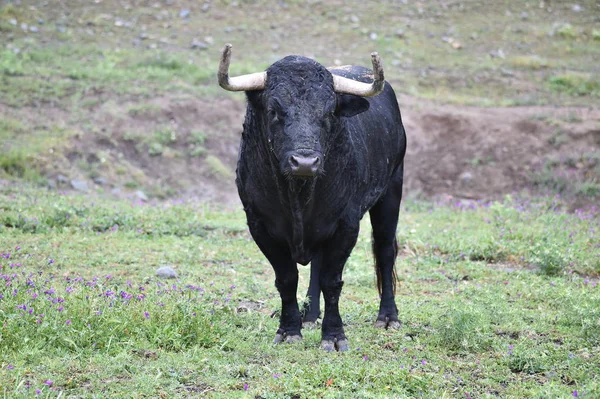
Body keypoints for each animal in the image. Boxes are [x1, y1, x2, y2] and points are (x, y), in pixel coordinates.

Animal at [220, 47, 408, 354]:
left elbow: (332, 281)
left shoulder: (346, 225)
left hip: (391, 191)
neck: (298, 196)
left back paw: (388, 317)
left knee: (385, 250)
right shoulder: (259, 226)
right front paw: (289, 329)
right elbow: (287, 279)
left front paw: (333, 336)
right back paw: (309, 315)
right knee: (317, 264)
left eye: (329, 112)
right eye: (274, 111)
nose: (305, 162)